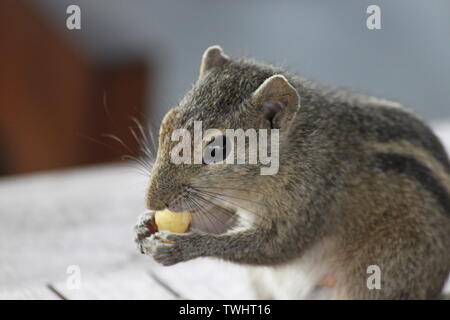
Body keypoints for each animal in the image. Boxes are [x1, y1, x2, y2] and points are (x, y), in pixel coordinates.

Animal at [134, 45, 450, 300]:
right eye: (166, 123)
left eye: (217, 150)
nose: (152, 201)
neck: (295, 151)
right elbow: (219, 220)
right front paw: (144, 223)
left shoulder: (313, 196)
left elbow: (277, 247)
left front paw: (184, 246)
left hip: (383, 268)